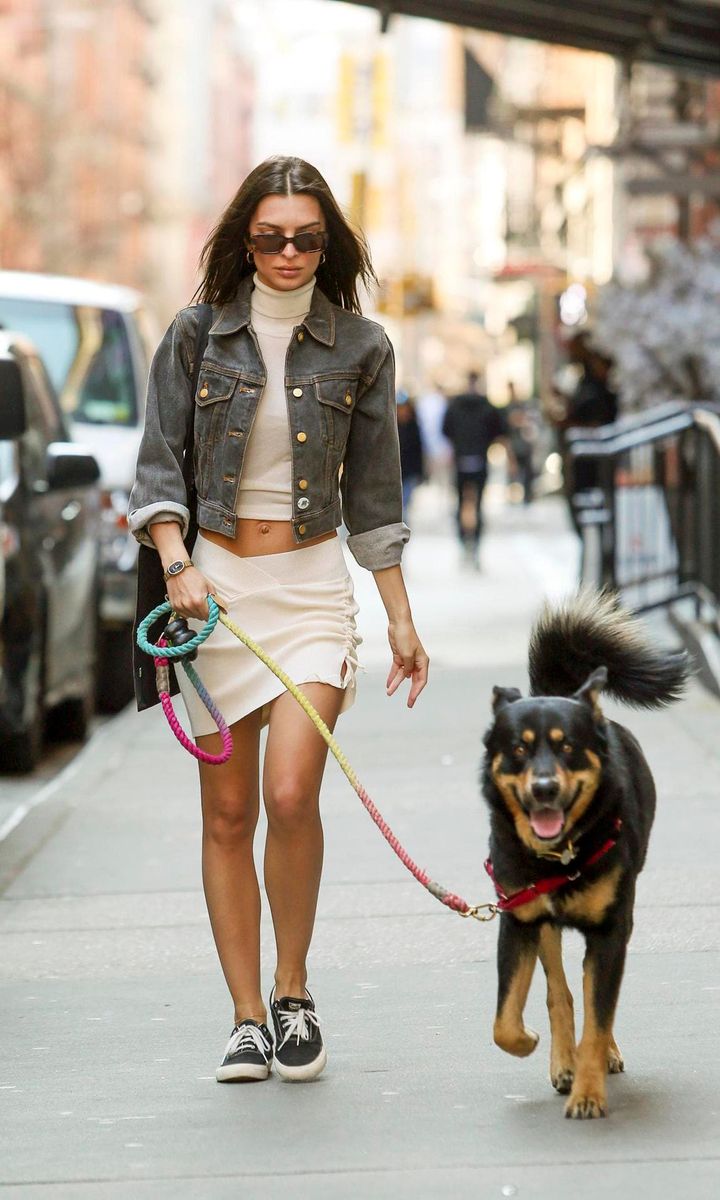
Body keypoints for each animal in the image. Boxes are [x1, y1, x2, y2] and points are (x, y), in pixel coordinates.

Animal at [480, 595, 691, 1118]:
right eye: (518, 750)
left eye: (568, 747)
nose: (544, 788)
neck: (560, 856)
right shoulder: (519, 920)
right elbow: (505, 1021)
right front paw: (534, 1045)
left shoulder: (611, 930)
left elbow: (600, 1014)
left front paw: (589, 1092)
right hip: (546, 927)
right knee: (560, 990)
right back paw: (563, 1061)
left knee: (598, 1003)